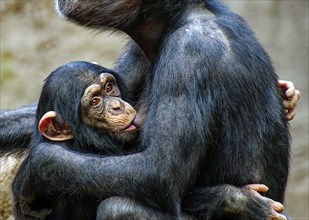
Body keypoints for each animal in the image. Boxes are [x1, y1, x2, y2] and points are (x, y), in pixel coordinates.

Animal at [0, 0, 294, 219]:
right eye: (99, 98)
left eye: (107, 91)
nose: (116, 105)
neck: (172, 20)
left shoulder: (190, 52)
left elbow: (160, 171)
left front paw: (35, 167)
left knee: (119, 208)